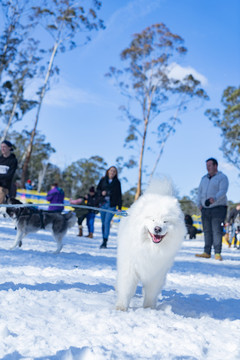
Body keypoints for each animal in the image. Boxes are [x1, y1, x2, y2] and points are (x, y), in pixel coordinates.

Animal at [116, 179, 186, 310]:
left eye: (165, 221)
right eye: (152, 219)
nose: (157, 228)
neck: (151, 249)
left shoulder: (156, 273)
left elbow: (151, 292)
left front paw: (148, 308)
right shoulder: (130, 267)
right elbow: (126, 289)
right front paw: (121, 308)